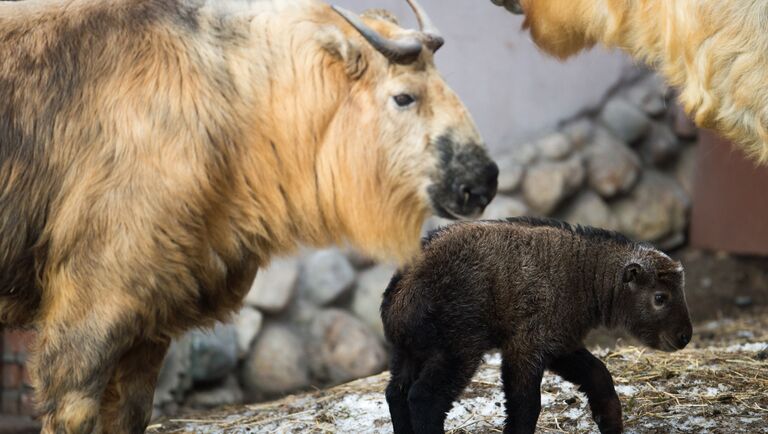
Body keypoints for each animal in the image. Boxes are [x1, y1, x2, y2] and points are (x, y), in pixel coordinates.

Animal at [380, 219, 692, 434]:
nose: (685, 336)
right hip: (457, 347)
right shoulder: (526, 346)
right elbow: (526, 404)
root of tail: (400, 291)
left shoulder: (559, 343)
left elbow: (599, 375)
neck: (584, 275)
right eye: (660, 297)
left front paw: (611, 424)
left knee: (396, 394)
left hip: (408, 352)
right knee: (424, 398)